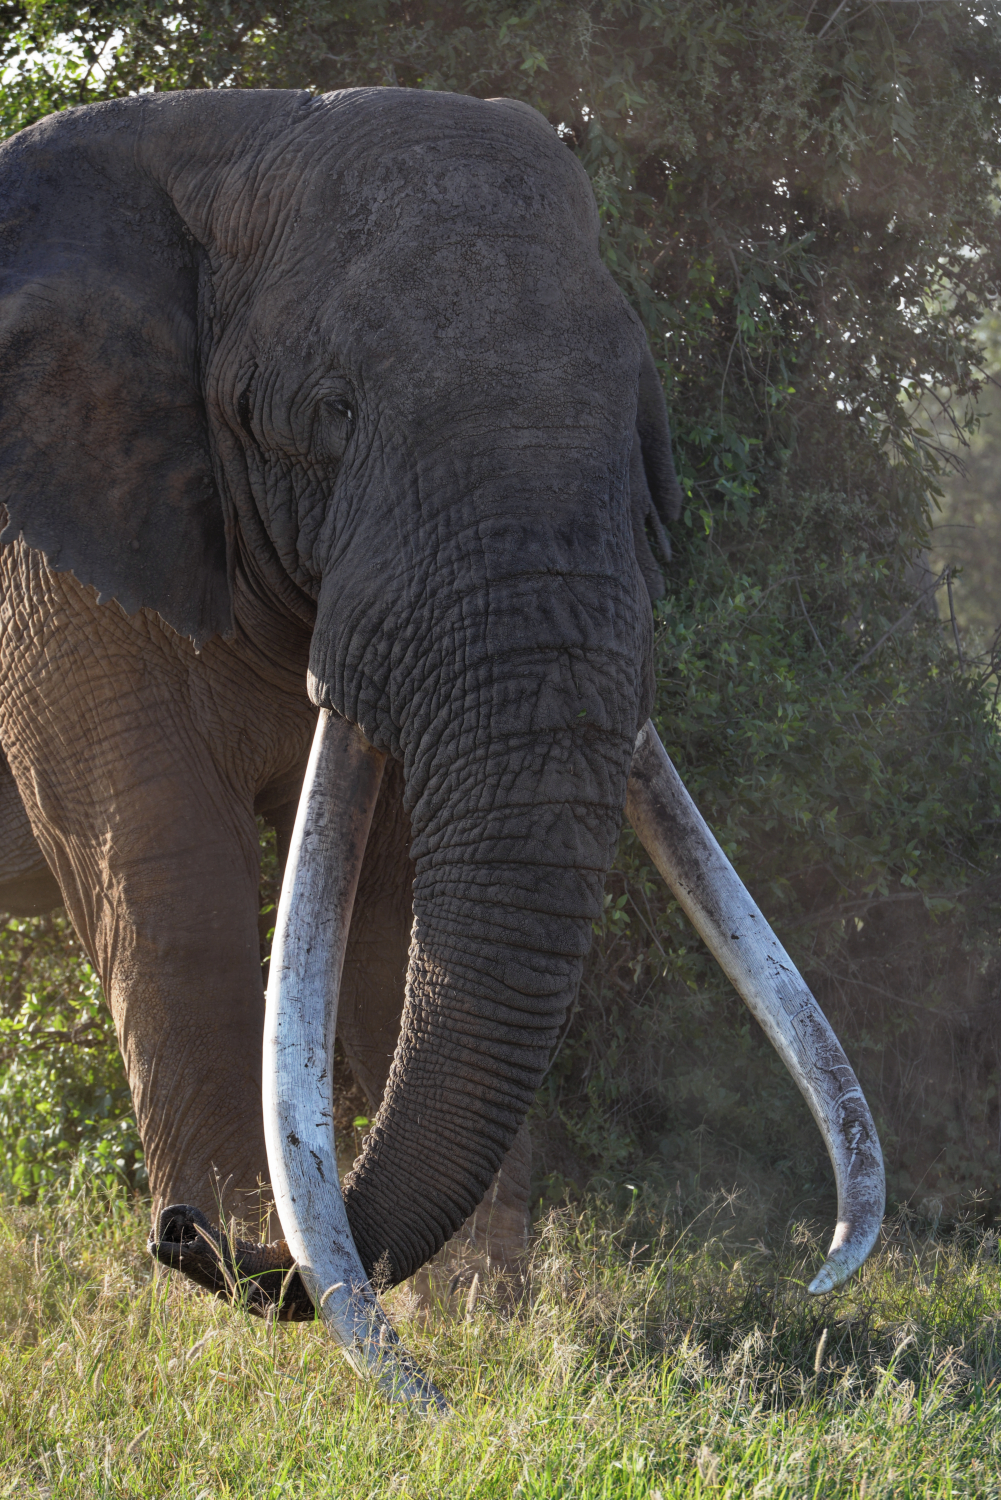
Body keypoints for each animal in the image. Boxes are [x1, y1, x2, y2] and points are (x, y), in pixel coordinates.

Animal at [0, 86, 883, 1403]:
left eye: (642, 427)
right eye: (324, 420)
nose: (183, 1239)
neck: (227, 140)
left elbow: (396, 900)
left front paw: (483, 1316)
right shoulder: (59, 559)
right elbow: (164, 873)